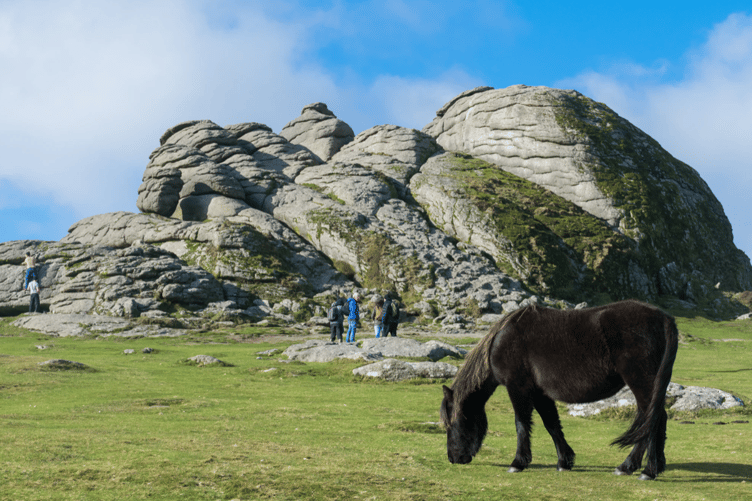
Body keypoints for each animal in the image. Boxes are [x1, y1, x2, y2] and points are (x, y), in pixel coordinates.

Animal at [440, 300, 678, 480]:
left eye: (453, 423)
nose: (453, 458)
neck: (503, 340)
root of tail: (663, 318)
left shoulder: (518, 388)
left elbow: (521, 424)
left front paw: (518, 462)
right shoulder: (540, 392)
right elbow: (551, 424)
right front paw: (565, 461)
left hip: (641, 382)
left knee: (652, 420)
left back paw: (638, 469)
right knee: (655, 419)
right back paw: (651, 467)